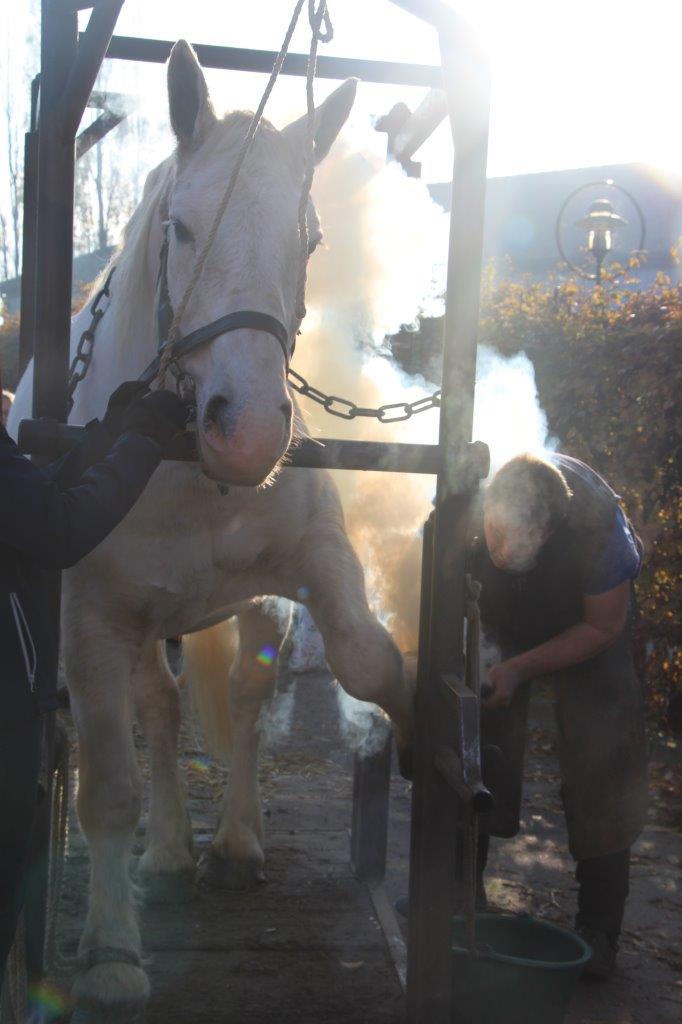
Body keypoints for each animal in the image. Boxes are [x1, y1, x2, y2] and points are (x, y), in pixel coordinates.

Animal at [9, 37, 413, 1015]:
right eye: (184, 228)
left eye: (309, 241)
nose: (252, 431)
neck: (186, 472)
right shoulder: (93, 626)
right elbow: (109, 788)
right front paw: (113, 952)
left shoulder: (312, 562)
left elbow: (365, 659)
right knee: (156, 715)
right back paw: (162, 855)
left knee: (242, 695)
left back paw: (231, 845)